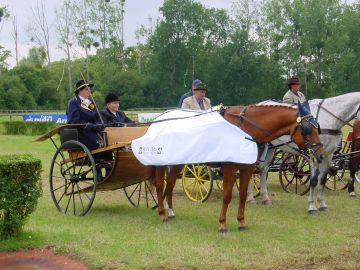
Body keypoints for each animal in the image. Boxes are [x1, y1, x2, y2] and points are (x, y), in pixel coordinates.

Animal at [150, 104, 324, 234]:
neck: (244, 129)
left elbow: (242, 194)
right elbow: (227, 195)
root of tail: (158, 118)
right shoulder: (230, 167)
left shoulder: (247, 168)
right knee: (159, 185)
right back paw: (162, 214)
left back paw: (170, 212)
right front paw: (222, 225)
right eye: (307, 129)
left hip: (177, 162)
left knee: (170, 184)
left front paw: (241, 223)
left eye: (318, 128)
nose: (321, 154)